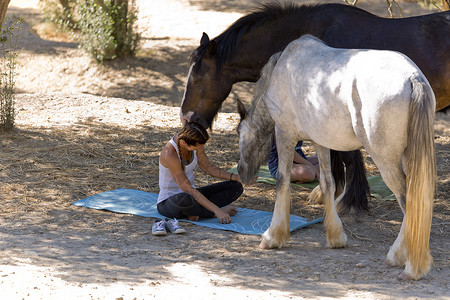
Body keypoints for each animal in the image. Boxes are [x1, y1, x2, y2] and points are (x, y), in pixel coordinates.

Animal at [239, 35, 436, 282]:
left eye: (238, 132)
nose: (242, 172)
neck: (284, 67)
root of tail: (412, 77)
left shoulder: (284, 133)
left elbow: (283, 180)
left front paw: (273, 236)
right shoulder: (321, 142)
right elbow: (328, 183)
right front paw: (335, 237)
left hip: (387, 161)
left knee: (408, 201)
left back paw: (407, 263)